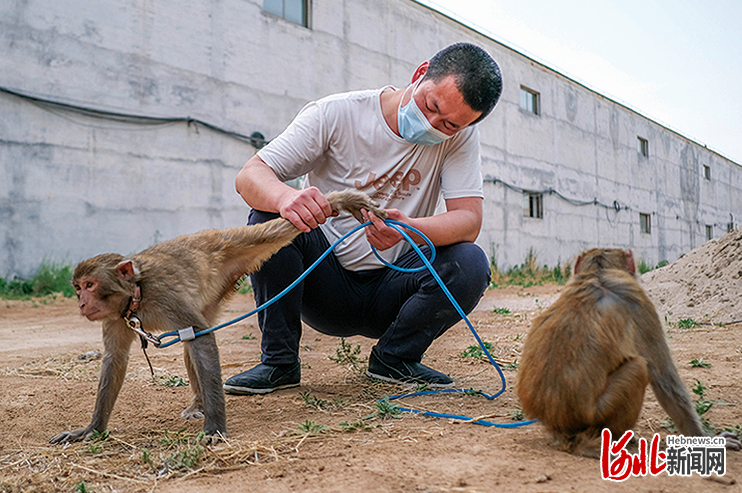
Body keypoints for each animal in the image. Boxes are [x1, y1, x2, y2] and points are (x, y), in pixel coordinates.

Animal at [50, 188, 390, 442]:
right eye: (78, 287)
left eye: (90, 285)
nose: (81, 303)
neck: (137, 295)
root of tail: (208, 237)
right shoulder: (115, 317)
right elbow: (116, 359)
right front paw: (93, 428)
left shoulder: (165, 297)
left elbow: (201, 340)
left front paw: (215, 427)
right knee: (192, 341)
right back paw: (197, 403)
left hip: (232, 244)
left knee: (272, 233)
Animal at [516, 248, 742, 456]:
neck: (598, 274)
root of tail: (564, 435)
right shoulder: (640, 304)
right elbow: (665, 380)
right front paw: (706, 440)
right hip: (598, 413)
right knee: (639, 368)